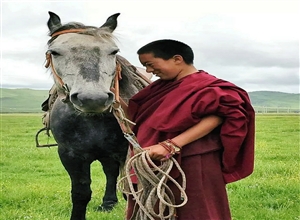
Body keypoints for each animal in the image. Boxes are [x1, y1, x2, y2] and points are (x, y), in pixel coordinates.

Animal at [41, 11, 150, 219]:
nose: (93, 98)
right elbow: (80, 193)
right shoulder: (70, 155)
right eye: (55, 52)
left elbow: (131, 192)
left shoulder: (128, 151)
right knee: (110, 172)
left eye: (113, 51)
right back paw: (108, 203)